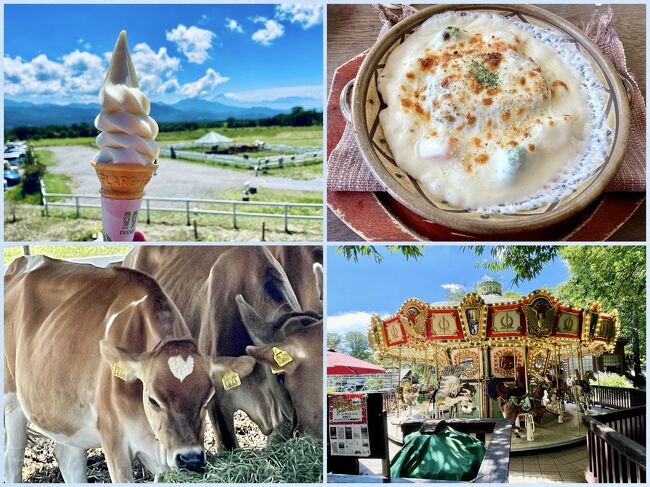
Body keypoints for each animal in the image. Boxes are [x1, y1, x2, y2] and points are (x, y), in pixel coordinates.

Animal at [3, 258, 254, 482]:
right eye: (153, 399)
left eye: (207, 398)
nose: (190, 459)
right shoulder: (114, 440)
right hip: (12, 400)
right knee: (12, 460)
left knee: (67, 457)